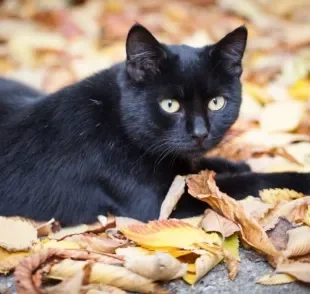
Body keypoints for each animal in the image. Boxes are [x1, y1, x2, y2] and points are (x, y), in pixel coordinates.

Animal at [0, 24, 310, 225]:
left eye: (216, 103)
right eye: (169, 105)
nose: (201, 133)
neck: (116, 120)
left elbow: (201, 168)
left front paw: (232, 164)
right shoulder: (160, 203)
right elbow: (247, 183)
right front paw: (297, 178)